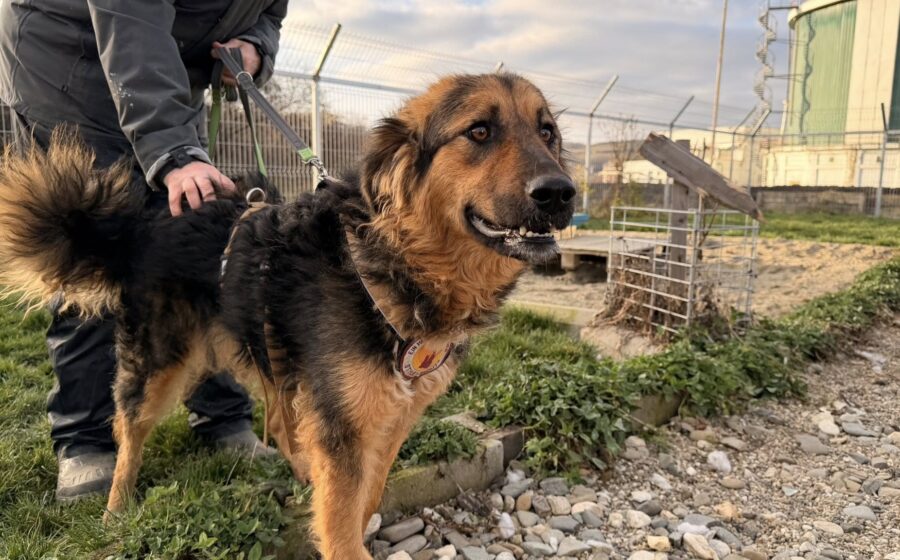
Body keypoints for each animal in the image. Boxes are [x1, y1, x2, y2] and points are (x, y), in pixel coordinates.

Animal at [0, 73, 575, 559]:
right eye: (478, 131)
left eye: (547, 132)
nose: (560, 193)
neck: (392, 262)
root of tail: (140, 227)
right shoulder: (345, 424)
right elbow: (342, 521)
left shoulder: (392, 416)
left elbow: (364, 498)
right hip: (159, 363)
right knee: (129, 431)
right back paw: (116, 508)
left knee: (279, 419)